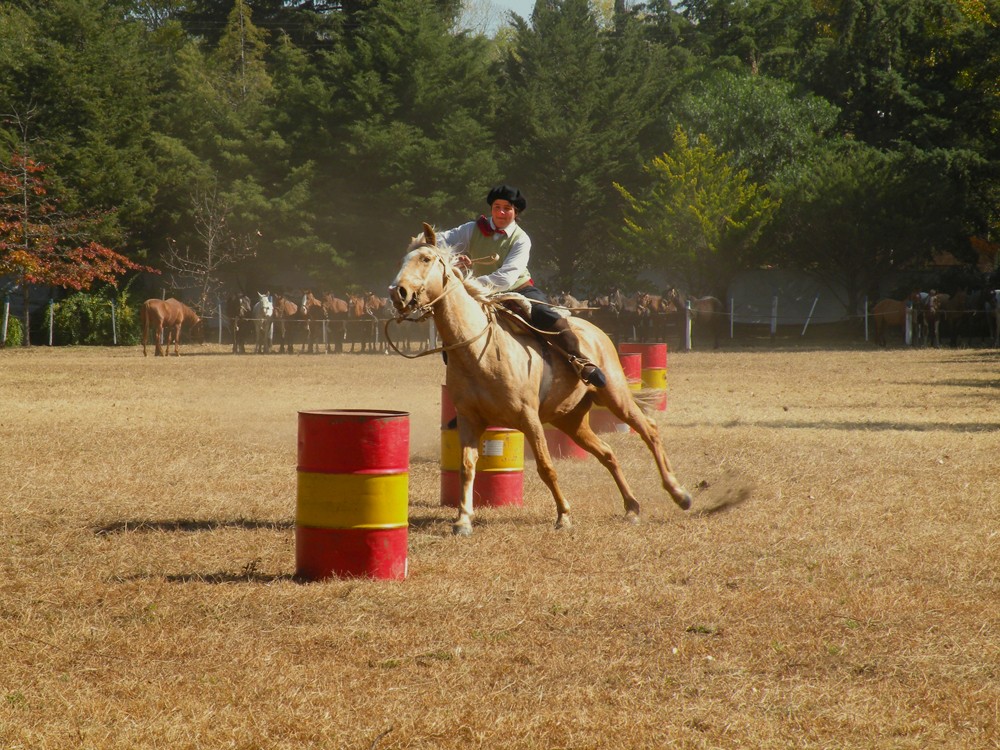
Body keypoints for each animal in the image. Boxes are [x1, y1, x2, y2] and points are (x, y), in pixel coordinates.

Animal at [390, 226, 696, 536]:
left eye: (426, 258)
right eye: (403, 259)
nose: (398, 292)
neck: (478, 350)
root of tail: (595, 331)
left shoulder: (529, 418)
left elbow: (546, 467)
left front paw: (564, 516)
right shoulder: (469, 419)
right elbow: (466, 466)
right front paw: (463, 519)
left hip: (615, 396)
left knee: (649, 430)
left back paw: (679, 494)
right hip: (571, 420)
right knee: (607, 452)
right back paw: (632, 507)